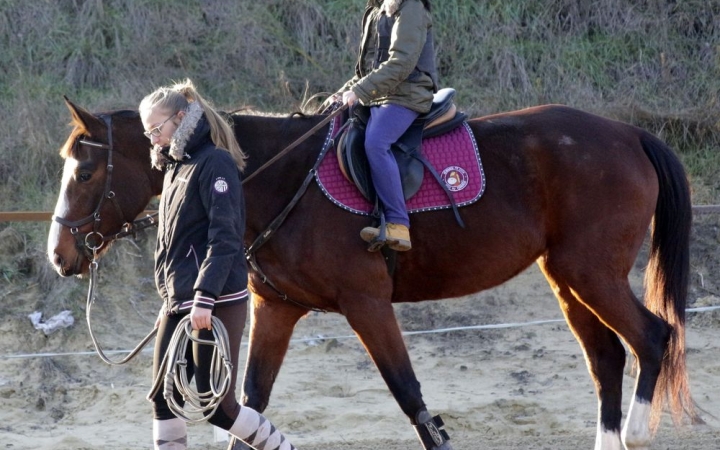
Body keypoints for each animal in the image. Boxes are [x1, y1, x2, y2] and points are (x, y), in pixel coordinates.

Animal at [49, 99, 696, 450]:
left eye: (85, 172)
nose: (59, 254)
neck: (282, 178)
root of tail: (627, 134)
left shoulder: (367, 305)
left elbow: (411, 397)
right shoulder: (275, 309)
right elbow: (249, 401)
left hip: (593, 274)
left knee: (652, 338)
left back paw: (638, 432)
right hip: (566, 279)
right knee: (607, 358)